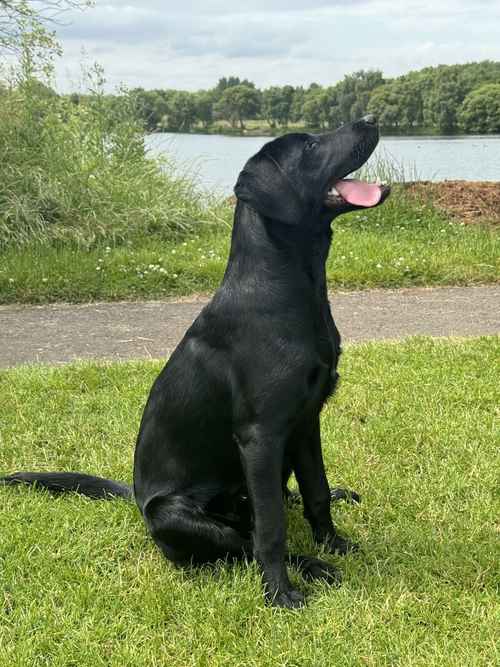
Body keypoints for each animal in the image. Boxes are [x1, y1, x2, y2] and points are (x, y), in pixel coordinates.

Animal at [0, 116, 390, 612]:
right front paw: (280, 592)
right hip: (176, 514)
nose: (372, 119)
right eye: (309, 145)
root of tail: (137, 498)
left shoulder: (305, 421)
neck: (291, 288)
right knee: (244, 538)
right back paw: (308, 567)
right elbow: (271, 530)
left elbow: (317, 492)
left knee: (273, 509)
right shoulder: (260, 436)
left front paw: (334, 542)